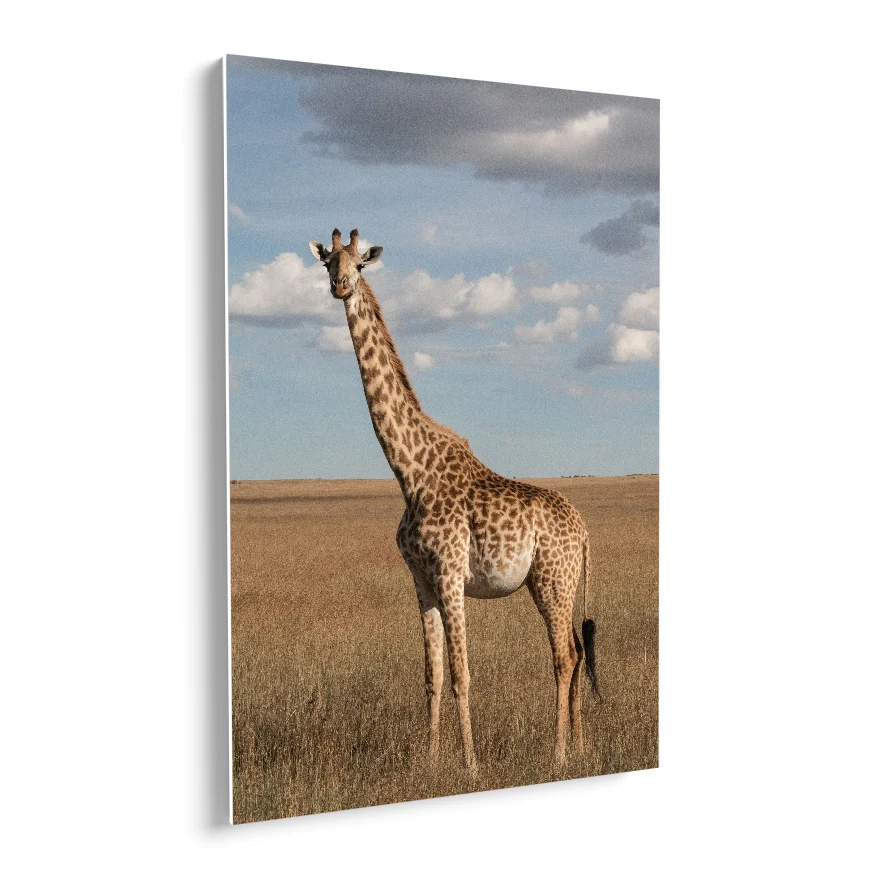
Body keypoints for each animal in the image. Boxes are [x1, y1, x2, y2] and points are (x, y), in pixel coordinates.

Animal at [309, 229, 601, 773]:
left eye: (360, 263)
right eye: (327, 263)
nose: (340, 286)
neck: (409, 471)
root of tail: (586, 530)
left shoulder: (449, 572)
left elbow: (463, 675)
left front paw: (470, 764)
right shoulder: (421, 578)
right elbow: (433, 676)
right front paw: (430, 761)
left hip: (552, 580)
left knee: (565, 656)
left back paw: (557, 756)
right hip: (557, 583)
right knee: (575, 647)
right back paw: (580, 747)